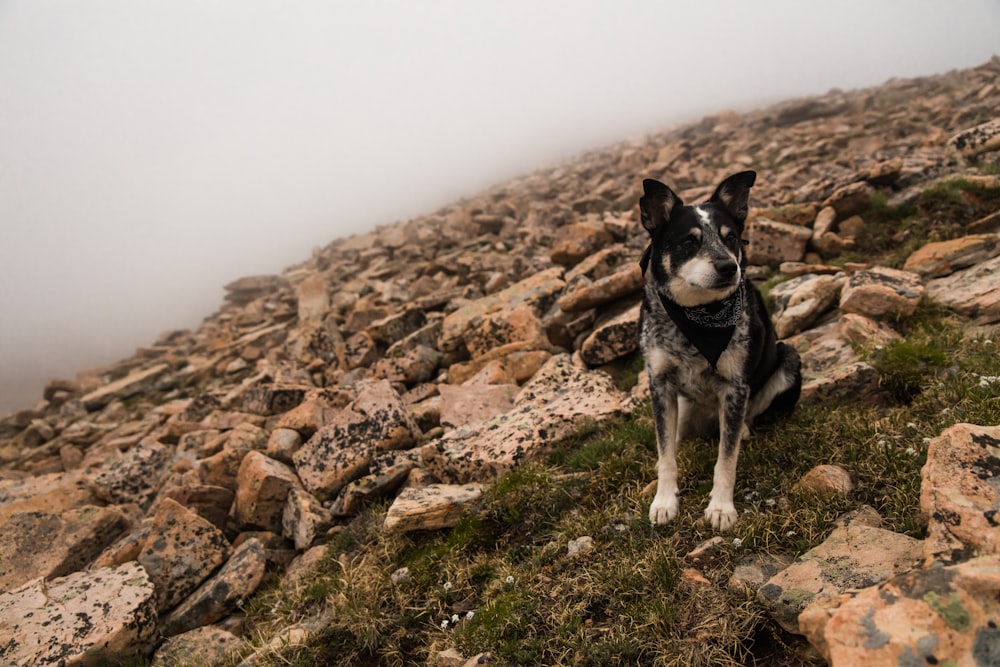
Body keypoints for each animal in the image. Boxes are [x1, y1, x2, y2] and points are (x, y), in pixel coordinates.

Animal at [640, 172, 804, 532]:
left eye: (731, 239)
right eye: (689, 242)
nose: (729, 267)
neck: (696, 317)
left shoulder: (735, 387)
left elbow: (726, 459)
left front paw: (721, 507)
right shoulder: (660, 384)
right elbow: (666, 455)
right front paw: (664, 501)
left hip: (788, 359)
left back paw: (741, 429)